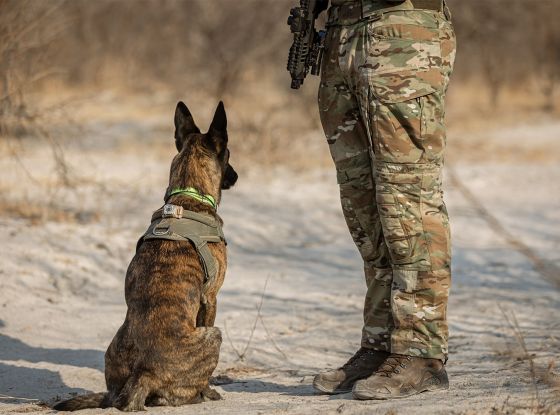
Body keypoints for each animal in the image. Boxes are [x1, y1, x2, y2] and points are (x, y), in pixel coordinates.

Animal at [55, 101, 240, 412]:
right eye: (228, 154)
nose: (236, 176)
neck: (188, 196)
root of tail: (145, 373)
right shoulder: (211, 297)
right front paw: (211, 390)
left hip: (115, 347)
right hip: (214, 335)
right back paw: (201, 394)